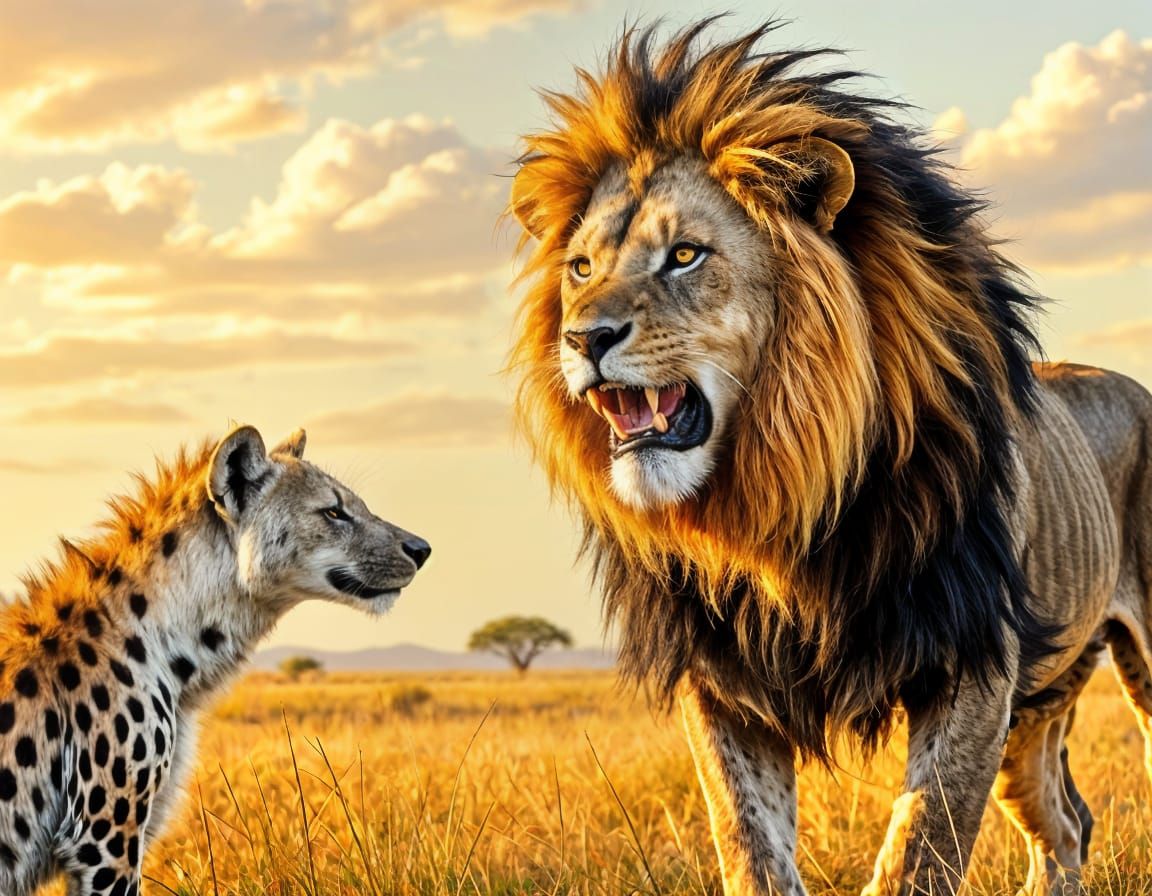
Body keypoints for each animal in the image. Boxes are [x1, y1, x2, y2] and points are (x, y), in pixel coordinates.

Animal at [507, 20, 1152, 896]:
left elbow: (920, 847)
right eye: (581, 268)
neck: (782, 498)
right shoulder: (723, 680)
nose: (583, 338)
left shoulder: (973, 660)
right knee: (1065, 824)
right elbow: (749, 846)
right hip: (1038, 708)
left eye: (685, 256)